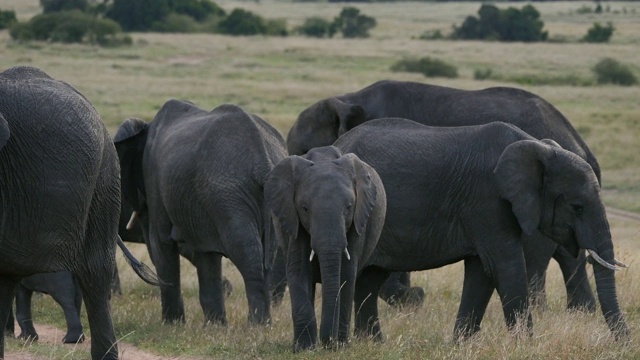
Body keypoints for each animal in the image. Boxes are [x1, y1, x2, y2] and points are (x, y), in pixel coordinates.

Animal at [114, 100, 286, 324]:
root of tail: (263, 161)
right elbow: (205, 255)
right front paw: (215, 326)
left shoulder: (153, 180)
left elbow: (160, 243)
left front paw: (172, 325)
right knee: (267, 254)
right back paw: (262, 324)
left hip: (229, 195)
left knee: (248, 252)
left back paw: (256, 326)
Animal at [264, 146, 384, 352]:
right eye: (305, 208)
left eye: (349, 207)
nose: (328, 342)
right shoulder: (292, 220)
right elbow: (298, 269)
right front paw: (304, 349)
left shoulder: (358, 222)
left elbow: (346, 274)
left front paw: (340, 346)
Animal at [284, 80, 600, 310]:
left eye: (306, 152)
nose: (417, 294)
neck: (349, 98)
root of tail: (581, 144)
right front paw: (408, 298)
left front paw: (408, 299)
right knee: (569, 255)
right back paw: (581, 312)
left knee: (536, 253)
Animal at [336, 119, 632, 342]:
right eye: (577, 207)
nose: (624, 342)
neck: (537, 147)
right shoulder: (487, 199)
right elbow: (505, 266)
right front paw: (525, 346)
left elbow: (481, 273)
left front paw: (461, 345)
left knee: (370, 280)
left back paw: (373, 343)